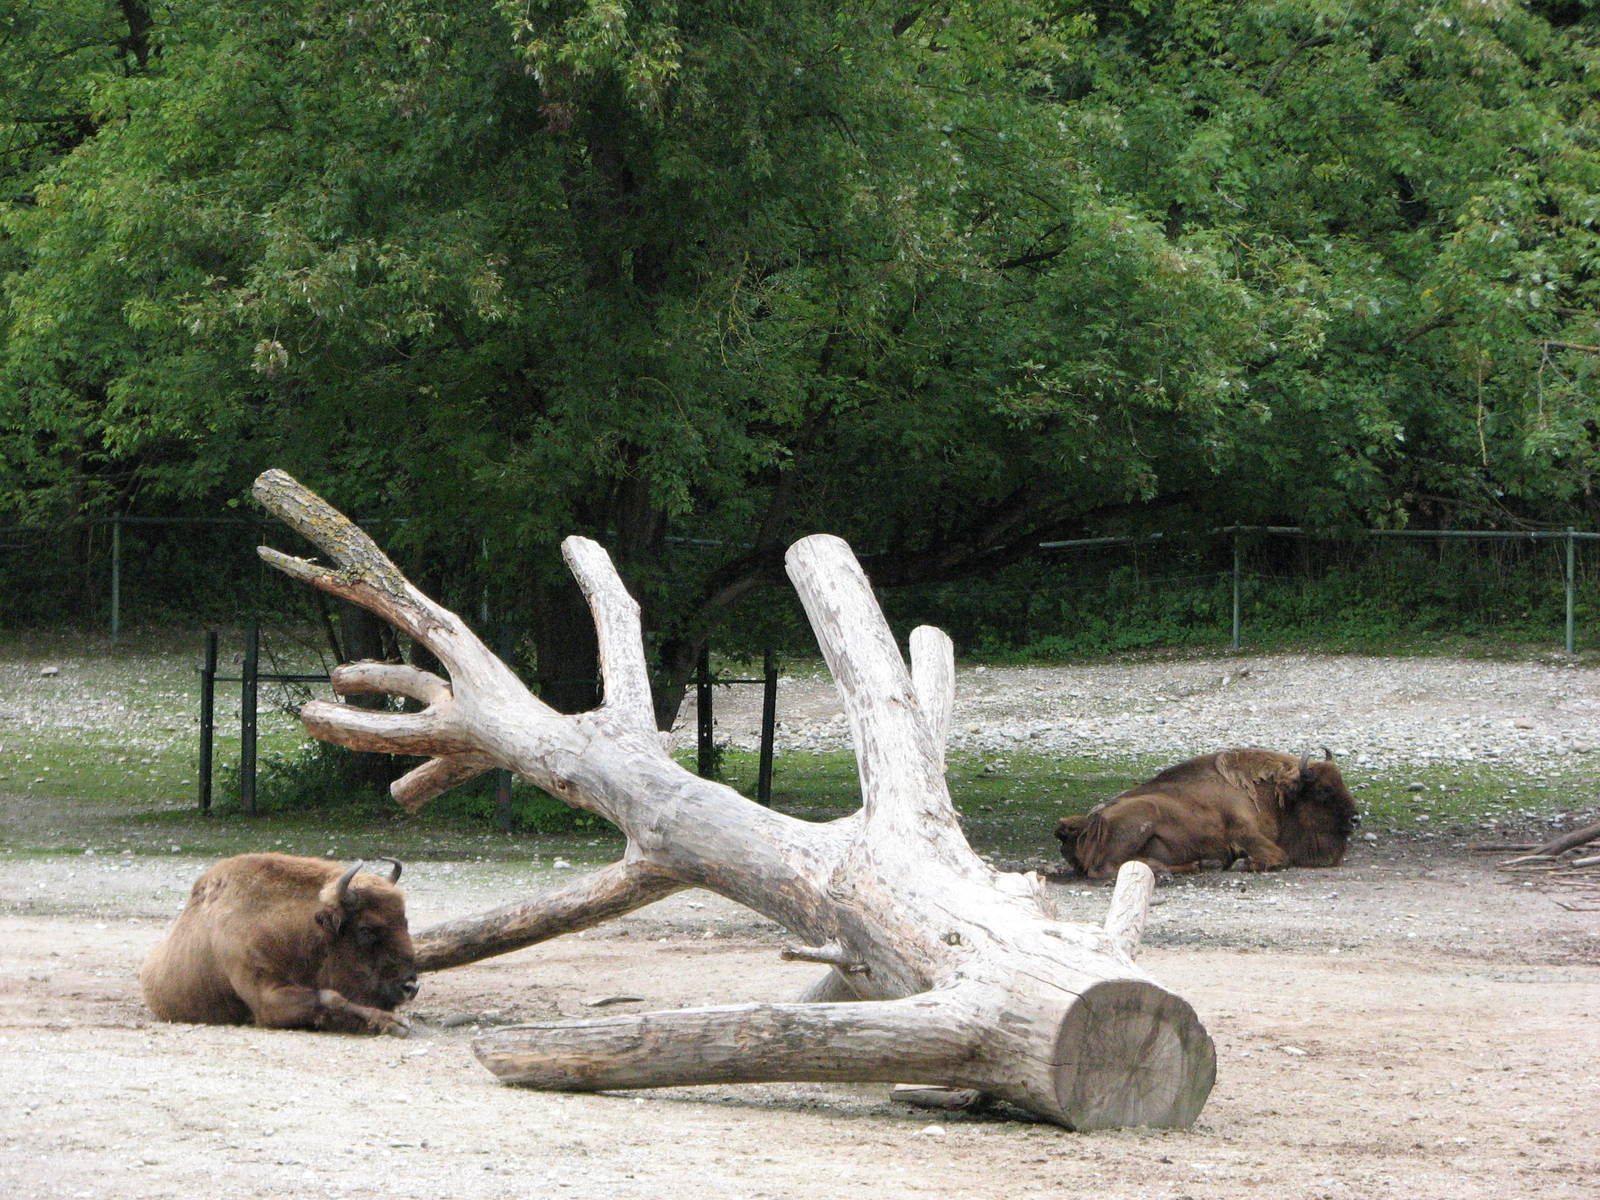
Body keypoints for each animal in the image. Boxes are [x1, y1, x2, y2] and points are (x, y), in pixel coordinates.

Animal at [140, 853, 418, 1035]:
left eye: (405, 921)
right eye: (366, 929)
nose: (410, 986)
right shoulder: (265, 1000)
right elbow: (330, 996)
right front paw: (394, 1023)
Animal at [1055, 748, 1358, 880]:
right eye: (1323, 789)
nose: (1355, 819)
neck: (1271, 795)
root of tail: (1084, 824)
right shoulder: (1245, 832)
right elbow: (1279, 856)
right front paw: (1242, 863)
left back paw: (1197, 864)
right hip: (1142, 816)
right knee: (1103, 868)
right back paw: (1166, 872)